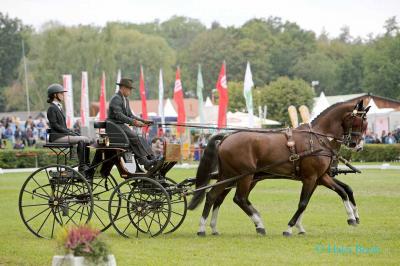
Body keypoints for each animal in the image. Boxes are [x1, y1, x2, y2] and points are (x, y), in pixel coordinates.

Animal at [189, 100, 370, 237]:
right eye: (359, 122)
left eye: (366, 124)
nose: (357, 146)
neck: (318, 139)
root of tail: (227, 137)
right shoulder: (311, 178)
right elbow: (303, 203)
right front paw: (290, 228)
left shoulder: (321, 177)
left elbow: (344, 191)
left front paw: (353, 217)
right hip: (245, 176)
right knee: (238, 198)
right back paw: (257, 224)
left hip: (230, 176)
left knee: (214, 196)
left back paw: (208, 227)